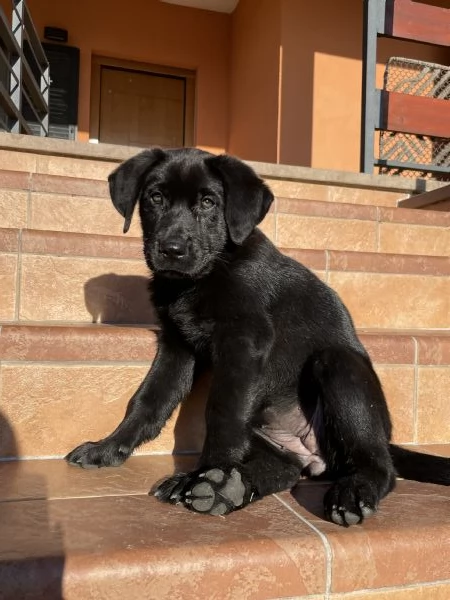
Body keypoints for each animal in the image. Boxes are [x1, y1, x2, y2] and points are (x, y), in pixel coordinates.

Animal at [67, 149, 450, 524]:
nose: (172, 250)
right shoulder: (177, 346)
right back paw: (226, 489)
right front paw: (109, 447)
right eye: (155, 197)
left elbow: (222, 410)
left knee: (379, 464)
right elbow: (149, 399)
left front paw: (205, 471)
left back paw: (349, 492)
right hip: (267, 438)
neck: (205, 275)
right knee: (286, 470)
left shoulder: (244, 339)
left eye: (208, 202)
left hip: (340, 368)